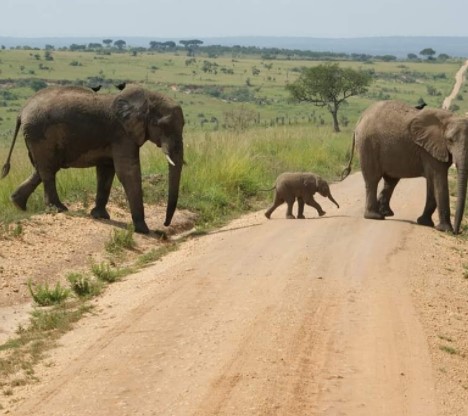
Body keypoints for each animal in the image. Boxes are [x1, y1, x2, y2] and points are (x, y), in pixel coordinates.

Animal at [1, 84, 185, 234]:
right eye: (163, 126)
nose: (165, 225)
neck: (146, 99)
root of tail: (22, 112)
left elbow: (106, 171)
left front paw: (100, 216)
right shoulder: (122, 134)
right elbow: (127, 172)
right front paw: (143, 230)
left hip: (36, 136)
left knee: (43, 168)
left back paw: (18, 204)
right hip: (40, 134)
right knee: (48, 169)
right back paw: (58, 209)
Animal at [340, 99, 468, 232]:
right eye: (450, 140)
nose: (457, 231)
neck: (450, 117)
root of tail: (361, 118)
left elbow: (432, 182)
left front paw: (425, 223)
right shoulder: (430, 150)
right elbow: (439, 180)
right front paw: (444, 229)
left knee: (390, 181)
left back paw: (385, 213)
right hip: (368, 144)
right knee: (373, 179)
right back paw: (375, 216)